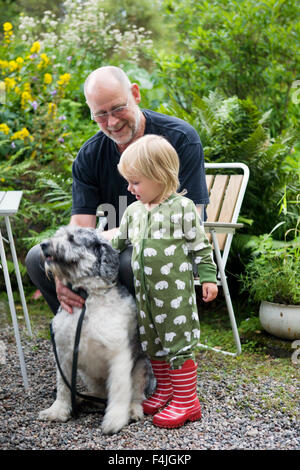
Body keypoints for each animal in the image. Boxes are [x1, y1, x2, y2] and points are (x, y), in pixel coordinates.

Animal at [38, 224, 146, 434]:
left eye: (72, 238)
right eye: (57, 235)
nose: (44, 244)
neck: (87, 297)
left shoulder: (119, 354)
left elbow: (120, 388)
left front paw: (115, 420)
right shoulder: (64, 352)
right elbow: (63, 386)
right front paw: (58, 411)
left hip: (140, 368)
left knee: (135, 394)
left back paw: (132, 409)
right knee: (99, 393)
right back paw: (87, 399)